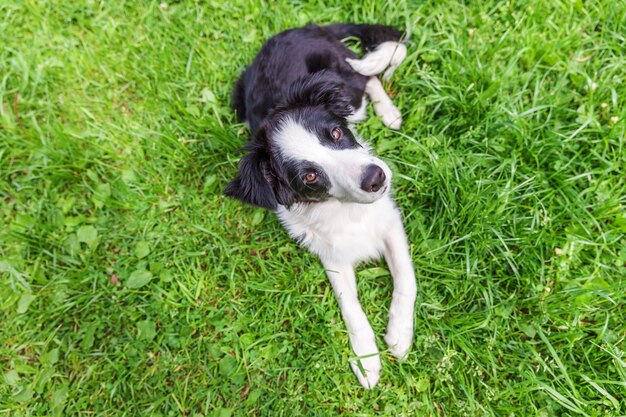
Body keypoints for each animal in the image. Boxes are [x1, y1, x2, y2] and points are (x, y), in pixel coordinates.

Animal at [224, 22, 414, 386]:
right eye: (310, 176)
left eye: (336, 134)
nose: (376, 178)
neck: (348, 210)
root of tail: (306, 28)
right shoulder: (332, 256)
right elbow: (350, 307)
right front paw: (366, 359)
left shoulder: (390, 222)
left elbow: (405, 279)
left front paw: (399, 335)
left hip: (345, 85)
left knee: (367, 77)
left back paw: (389, 112)